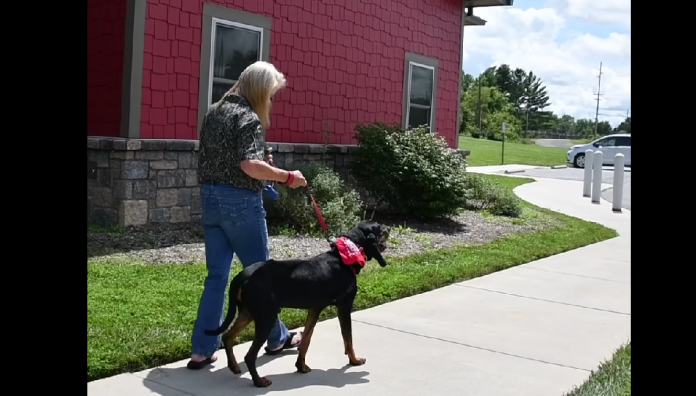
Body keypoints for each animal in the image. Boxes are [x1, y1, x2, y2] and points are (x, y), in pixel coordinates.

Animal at [204, 221, 392, 388]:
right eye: (378, 226)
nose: (390, 227)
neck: (344, 256)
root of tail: (242, 275)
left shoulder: (315, 309)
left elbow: (307, 338)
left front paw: (301, 366)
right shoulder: (344, 307)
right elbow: (348, 339)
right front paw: (354, 360)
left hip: (248, 312)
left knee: (227, 336)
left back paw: (234, 367)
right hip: (266, 317)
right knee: (249, 355)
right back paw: (259, 382)